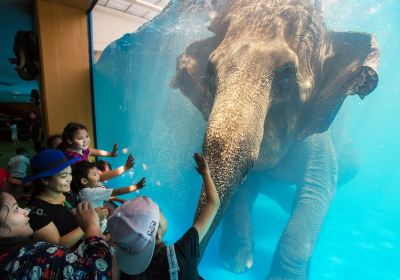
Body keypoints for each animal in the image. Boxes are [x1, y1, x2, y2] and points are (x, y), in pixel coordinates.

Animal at [172, 1, 378, 278]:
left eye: (287, 77)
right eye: (211, 72)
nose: (191, 261)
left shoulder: (317, 139)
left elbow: (319, 189)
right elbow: (244, 190)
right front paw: (237, 263)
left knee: (349, 166)